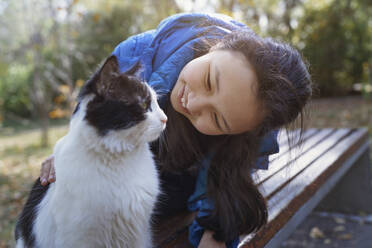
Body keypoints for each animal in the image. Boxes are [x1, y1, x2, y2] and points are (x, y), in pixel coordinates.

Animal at [14, 55, 166, 248]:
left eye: (156, 101)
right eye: (144, 103)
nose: (165, 118)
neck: (119, 159)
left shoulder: (139, 233)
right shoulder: (81, 237)